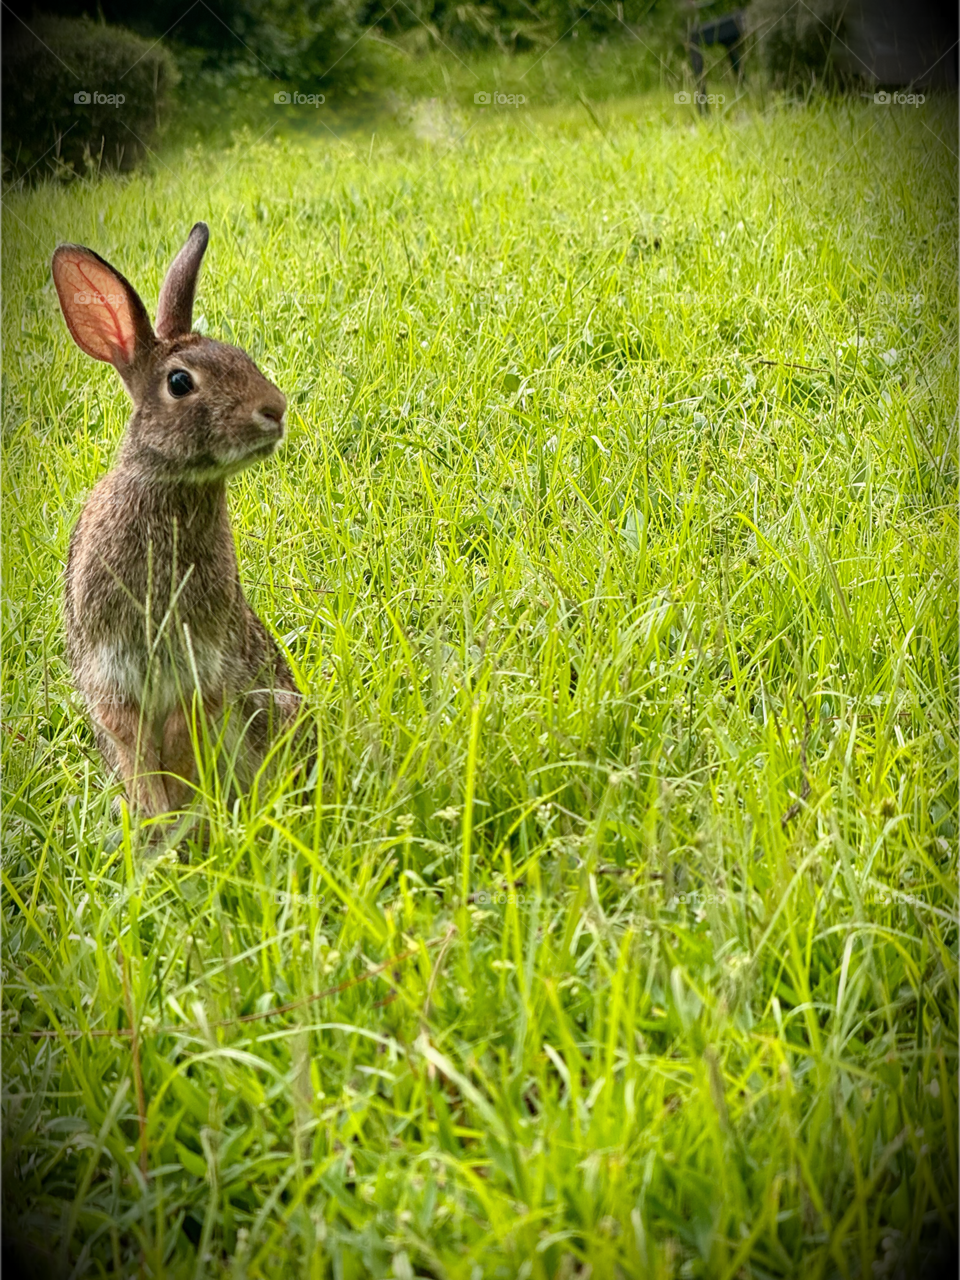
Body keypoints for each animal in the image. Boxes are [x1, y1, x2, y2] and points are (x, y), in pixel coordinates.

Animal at [52, 221, 302, 827]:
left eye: (241, 357)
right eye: (181, 383)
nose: (276, 408)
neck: (174, 487)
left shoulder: (200, 673)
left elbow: (183, 737)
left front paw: (178, 818)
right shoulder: (113, 681)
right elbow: (140, 753)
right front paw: (161, 820)